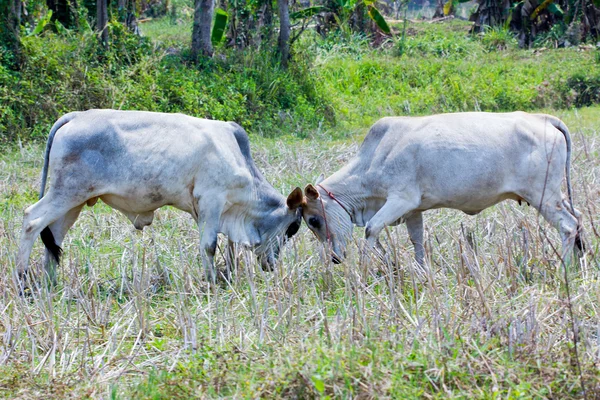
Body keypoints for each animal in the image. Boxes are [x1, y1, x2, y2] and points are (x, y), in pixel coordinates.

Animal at [17, 109, 304, 284]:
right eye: (292, 228)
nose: (272, 264)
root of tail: (75, 116)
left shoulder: (209, 210)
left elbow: (227, 246)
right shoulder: (212, 200)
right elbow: (210, 245)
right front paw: (211, 282)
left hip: (73, 202)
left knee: (54, 236)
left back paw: (52, 282)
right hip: (66, 193)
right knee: (32, 220)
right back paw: (21, 280)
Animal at [298, 111, 584, 266]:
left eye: (313, 220)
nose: (334, 259)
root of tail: (541, 118)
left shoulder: (401, 199)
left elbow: (372, 229)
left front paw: (365, 268)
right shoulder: (413, 209)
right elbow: (417, 240)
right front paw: (421, 272)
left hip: (543, 195)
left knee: (568, 225)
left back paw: (564, 269)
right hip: (555, 195)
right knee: (578, 218)